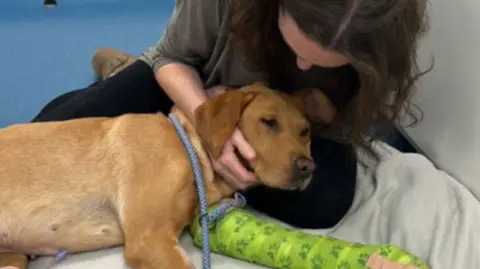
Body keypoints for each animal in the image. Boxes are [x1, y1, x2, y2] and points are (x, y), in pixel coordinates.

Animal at [0, 82, 338, 266]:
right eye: (268, 122)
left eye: (305, 132)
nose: (308, 167)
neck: (188, 146)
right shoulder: (149, 239)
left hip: (13, 258)